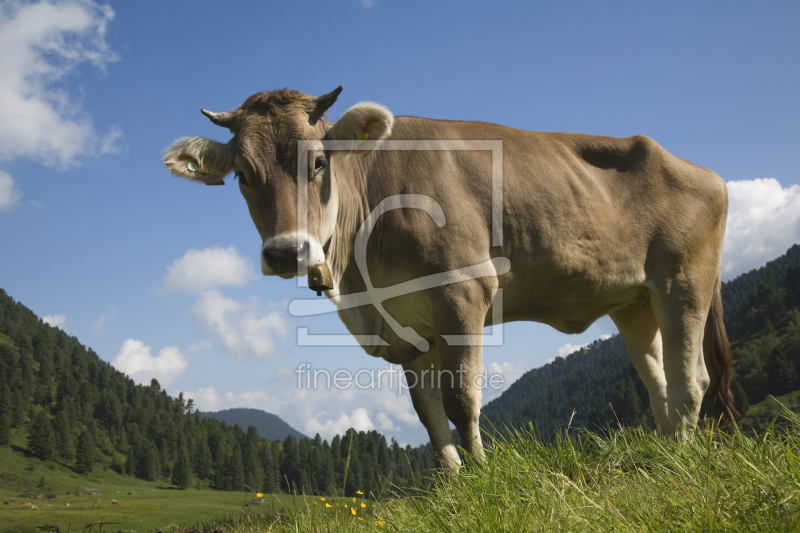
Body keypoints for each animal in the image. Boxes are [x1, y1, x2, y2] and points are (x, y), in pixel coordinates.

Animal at [164, 84, 736, 466]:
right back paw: (666, 455)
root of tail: (702, 170)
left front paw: (482, 475)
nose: (286, 252)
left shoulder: (462, 289)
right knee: (659, 383)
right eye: (242, 175)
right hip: (634, 301)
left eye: (320, 163)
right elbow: (428, 414)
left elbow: (461, 401)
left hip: (684, 281)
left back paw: (683, 460)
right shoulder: (407, 327)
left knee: (691, 380)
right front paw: (451, 483)